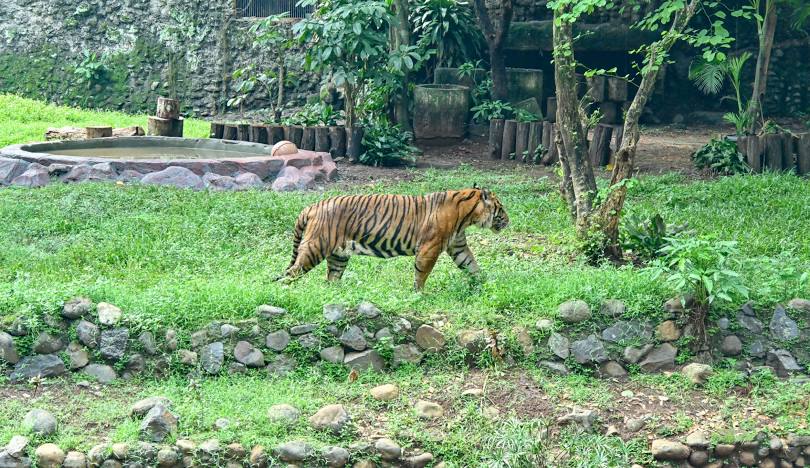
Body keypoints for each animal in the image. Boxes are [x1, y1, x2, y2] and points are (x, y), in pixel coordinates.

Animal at [278, 186, 504, 288]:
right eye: (501, 209)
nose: (508, 221)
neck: (468, 215)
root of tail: (312, 206)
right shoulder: (429, 248)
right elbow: (422, 273)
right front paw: (418, 294)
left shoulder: (457, 246)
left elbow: (471, 264)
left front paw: (486, 283)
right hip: (316, 247)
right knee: (292, 271)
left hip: (338, 255)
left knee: (331, 278)